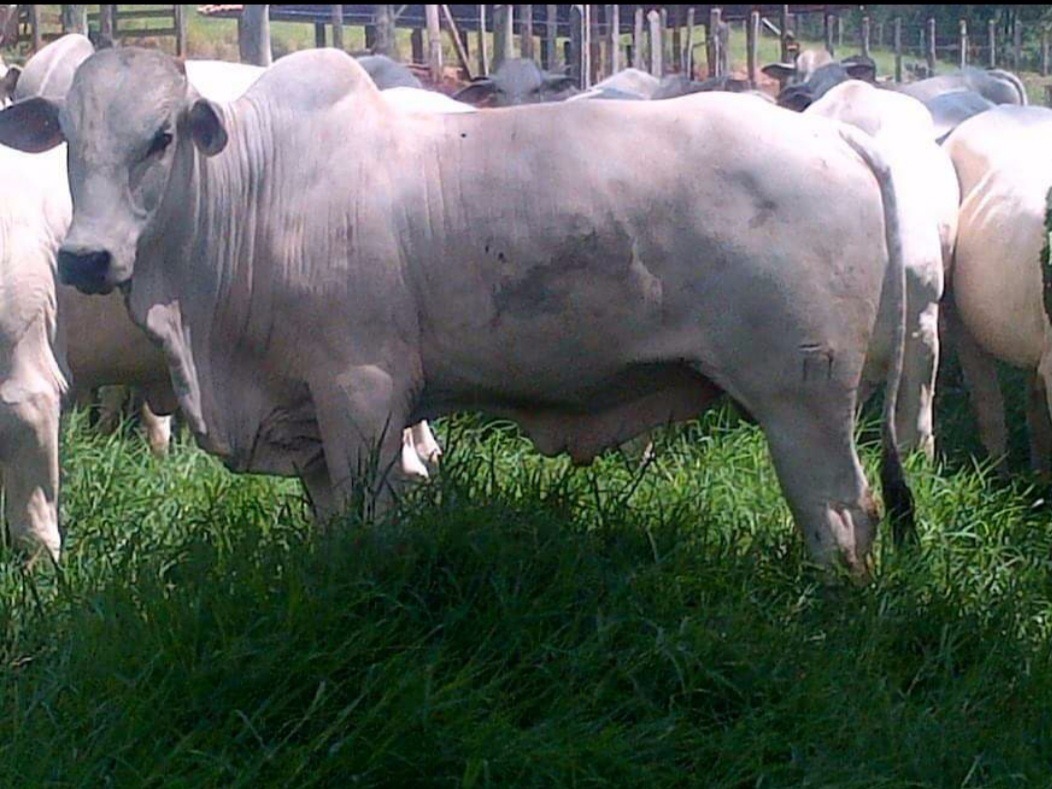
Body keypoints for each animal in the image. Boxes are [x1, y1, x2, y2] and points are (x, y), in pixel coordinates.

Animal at [0, 46, 921, 572]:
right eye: (71, 138)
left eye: (161, 137)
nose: (84, 257)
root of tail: (833, 135)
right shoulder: (306, 420)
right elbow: (331, 525)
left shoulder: (363, 392)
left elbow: (374, 519)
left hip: (801, 398)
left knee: (844, 517)